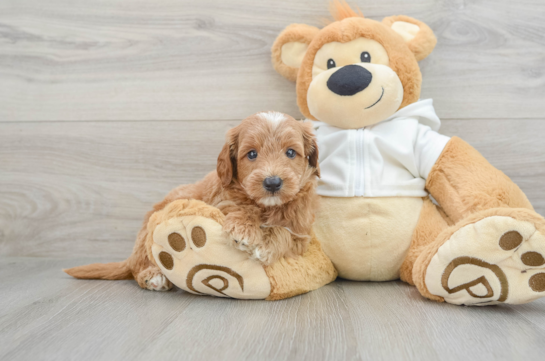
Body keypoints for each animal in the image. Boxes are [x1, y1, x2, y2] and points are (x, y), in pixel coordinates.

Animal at [65, 111, 318, 292]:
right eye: (252, 154)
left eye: (291, 152)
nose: (273, 183)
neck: (267, 205)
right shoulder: (222, 202)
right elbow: (241, 208)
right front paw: (244, 228)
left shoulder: (301, 233)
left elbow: (284, 233)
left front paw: (264, 245)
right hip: (148, 233)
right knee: (138, 266)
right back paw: (153, 276)